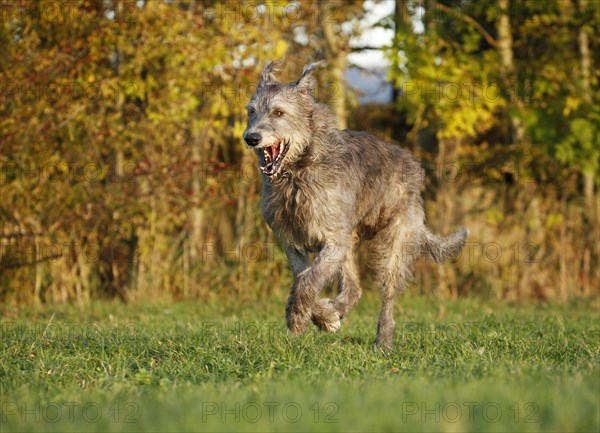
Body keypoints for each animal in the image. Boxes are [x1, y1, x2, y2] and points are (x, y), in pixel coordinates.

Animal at [241, 60, 466, 348]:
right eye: (252, 111)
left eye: (279, 112)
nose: (251, 138)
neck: (299, 171)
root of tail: (413, 165)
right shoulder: (291, 239)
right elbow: (302, 274)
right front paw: (324, 316)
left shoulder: (333, 239)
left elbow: (309, 277)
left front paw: (299, 316)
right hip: (350, 239)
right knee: (354, 288)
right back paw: (336, 311)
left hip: (393, 240)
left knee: (388, 292)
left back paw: (383, 340)